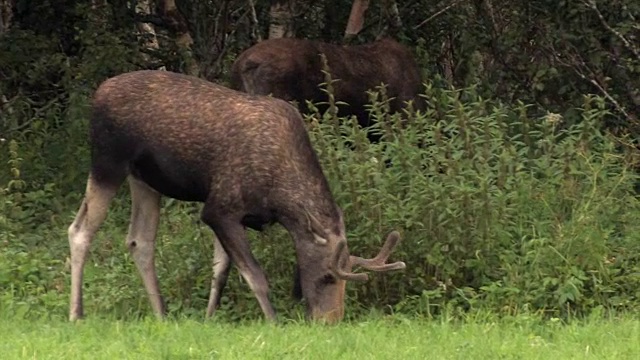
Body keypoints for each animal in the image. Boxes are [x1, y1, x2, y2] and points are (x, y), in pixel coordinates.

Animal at [69, 70, 404, 324]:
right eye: (326, 277)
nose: (330, 321)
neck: (280, 200)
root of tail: (98, 93)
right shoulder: (220, 209)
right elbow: (255, 275)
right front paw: (274, 322)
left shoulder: (232, 215)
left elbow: (220, 271)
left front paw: (208, 319)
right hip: (107, 162)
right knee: (79, 230)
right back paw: (76, 314)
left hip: (145, 181)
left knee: (139, 240)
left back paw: (162, 314)